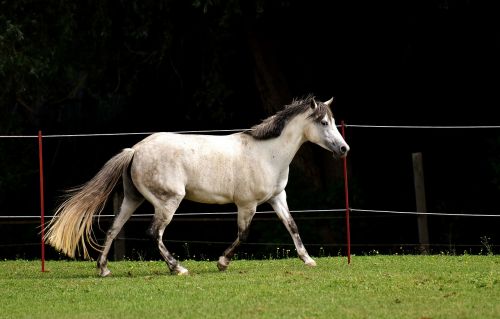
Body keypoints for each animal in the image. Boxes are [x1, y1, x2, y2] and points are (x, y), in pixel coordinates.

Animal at [46, 94, 348, 276]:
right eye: (324, 122)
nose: (344, 149)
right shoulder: (247, 204)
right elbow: (243, 235)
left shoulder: (277, 198)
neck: (268, 154)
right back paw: (177, 268)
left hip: (133, 199)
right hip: (168, 201)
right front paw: (222, 263)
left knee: (113, 229)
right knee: (154, 233)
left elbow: (292, 226)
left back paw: (104, 269)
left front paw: (308, 260)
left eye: (332, 121)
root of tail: (135, 150)